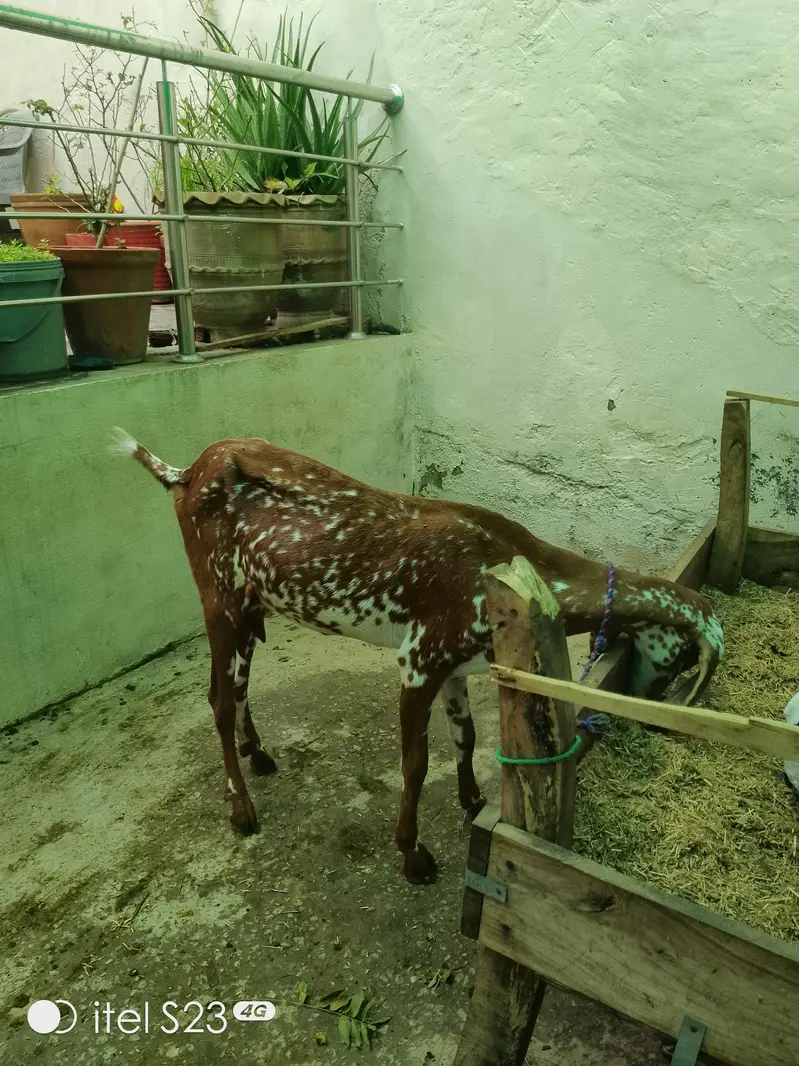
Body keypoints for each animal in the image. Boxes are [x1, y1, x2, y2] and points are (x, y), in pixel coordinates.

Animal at [113, 429, 724, 884]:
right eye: (680, 660)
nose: (648, 709)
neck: (505, 562)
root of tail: (183, 473)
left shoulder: (455, 665)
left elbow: (467, 736)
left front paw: (472, 799)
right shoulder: (419, 659)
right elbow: (415, 763)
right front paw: (412, 855)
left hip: (249, 606)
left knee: (237, 685)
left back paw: (258, 753)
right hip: (217, 596)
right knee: (216, 698)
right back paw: (241, 809)